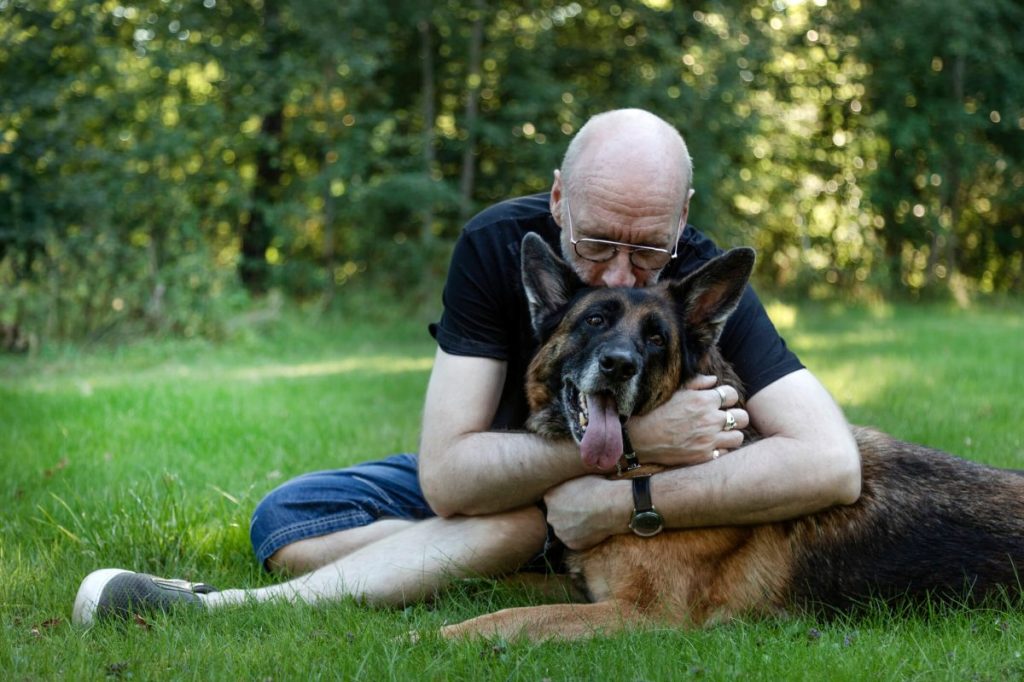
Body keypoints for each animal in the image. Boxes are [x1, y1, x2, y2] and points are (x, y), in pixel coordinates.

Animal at [444, 232, 1024, 638]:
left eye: (656, 339)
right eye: (593, 321)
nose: (618, 365)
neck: (646, 470)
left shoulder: (640, 615)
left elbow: (515, 618)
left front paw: (444, 635)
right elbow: (494, 585)